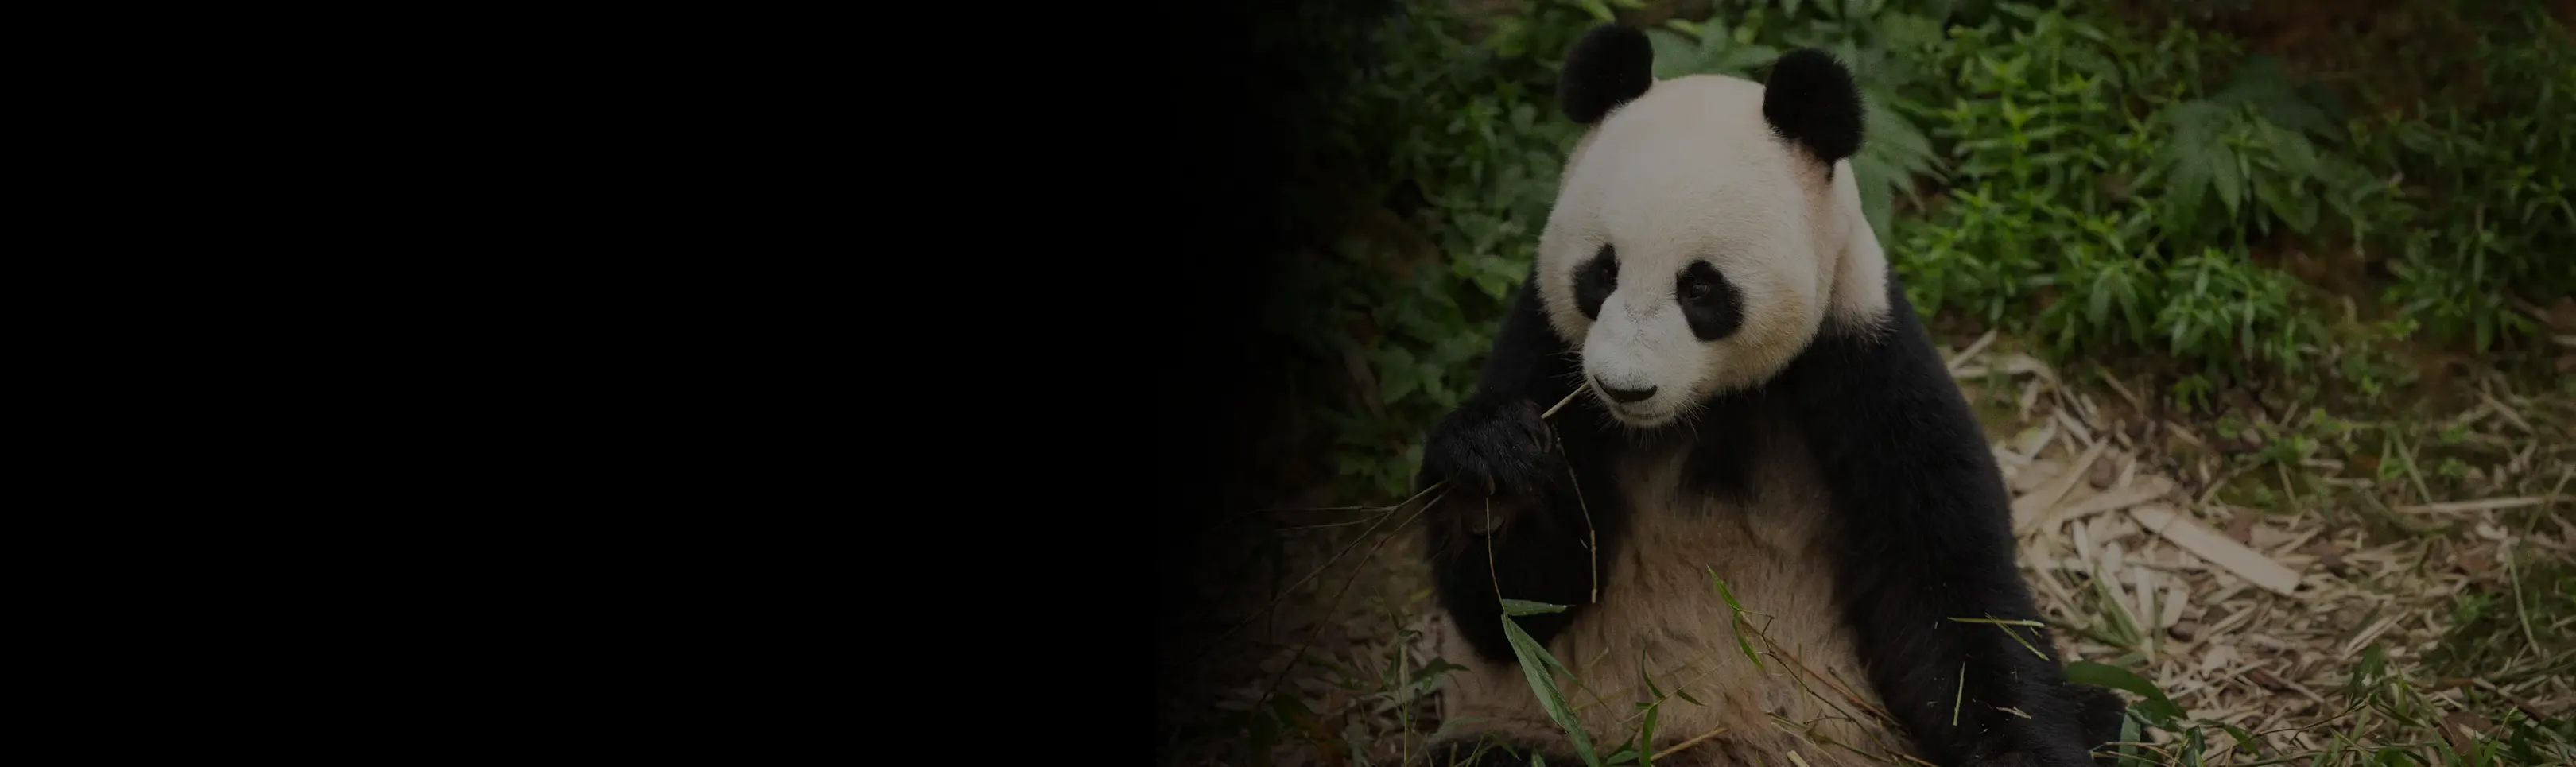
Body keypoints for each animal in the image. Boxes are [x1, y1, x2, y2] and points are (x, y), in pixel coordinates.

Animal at [1413, 23, 2131, 767]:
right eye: (1601, 272)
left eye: (1700, 288)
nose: (1621, 386)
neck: (1706, 408)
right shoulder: (1544, 351)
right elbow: (1515, 611)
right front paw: (1497, 466)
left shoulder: (1862, 354)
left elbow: (1950, 589)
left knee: (2105, 710)